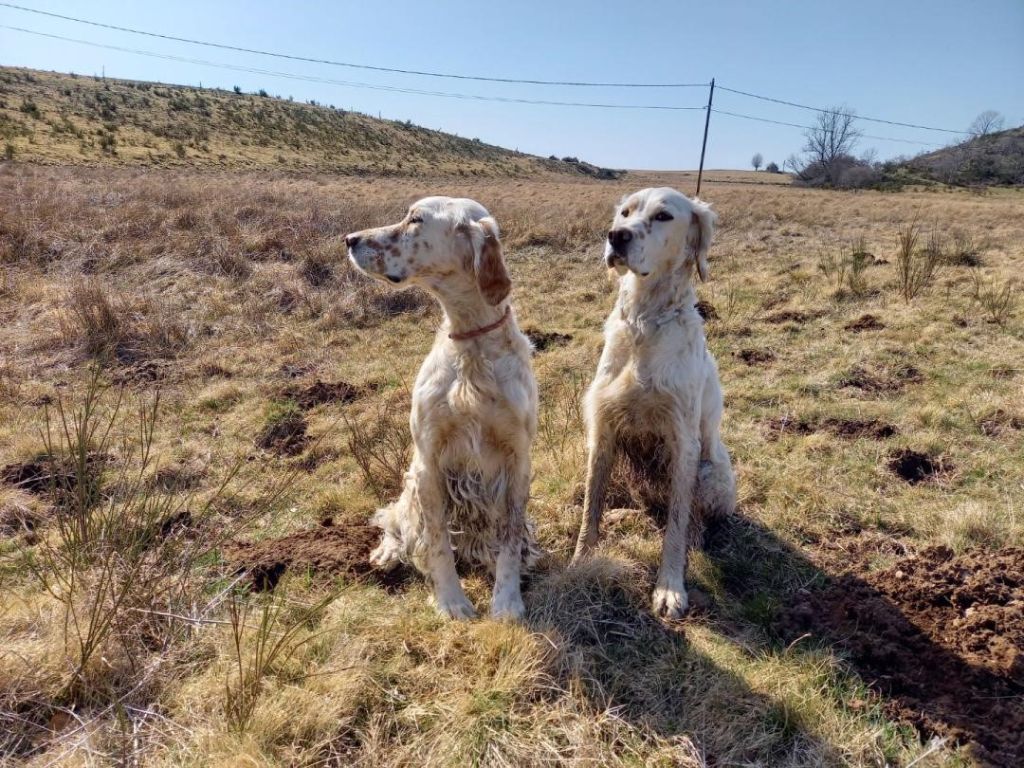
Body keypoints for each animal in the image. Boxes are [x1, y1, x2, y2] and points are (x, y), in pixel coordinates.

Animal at [344, 196, 540, 618]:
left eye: (415, 220)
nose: (349, 239)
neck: (472, 348)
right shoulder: (429, 463)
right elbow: (435, 541)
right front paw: (452, 601)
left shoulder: (517, 462)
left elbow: (511, 537)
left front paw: (507, 599)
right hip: (409, 485)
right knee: (397, 521)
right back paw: (387, 552)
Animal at [577, 186, 737, 618]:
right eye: (625, 213)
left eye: (664, 216)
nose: (616, 236)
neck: (644, 321)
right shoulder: (604, 430)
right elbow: (591, 504)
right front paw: (580, 562)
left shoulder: (683, 441)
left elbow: (677, 525)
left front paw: (670, 587)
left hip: (712, 473)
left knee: (692, 517)